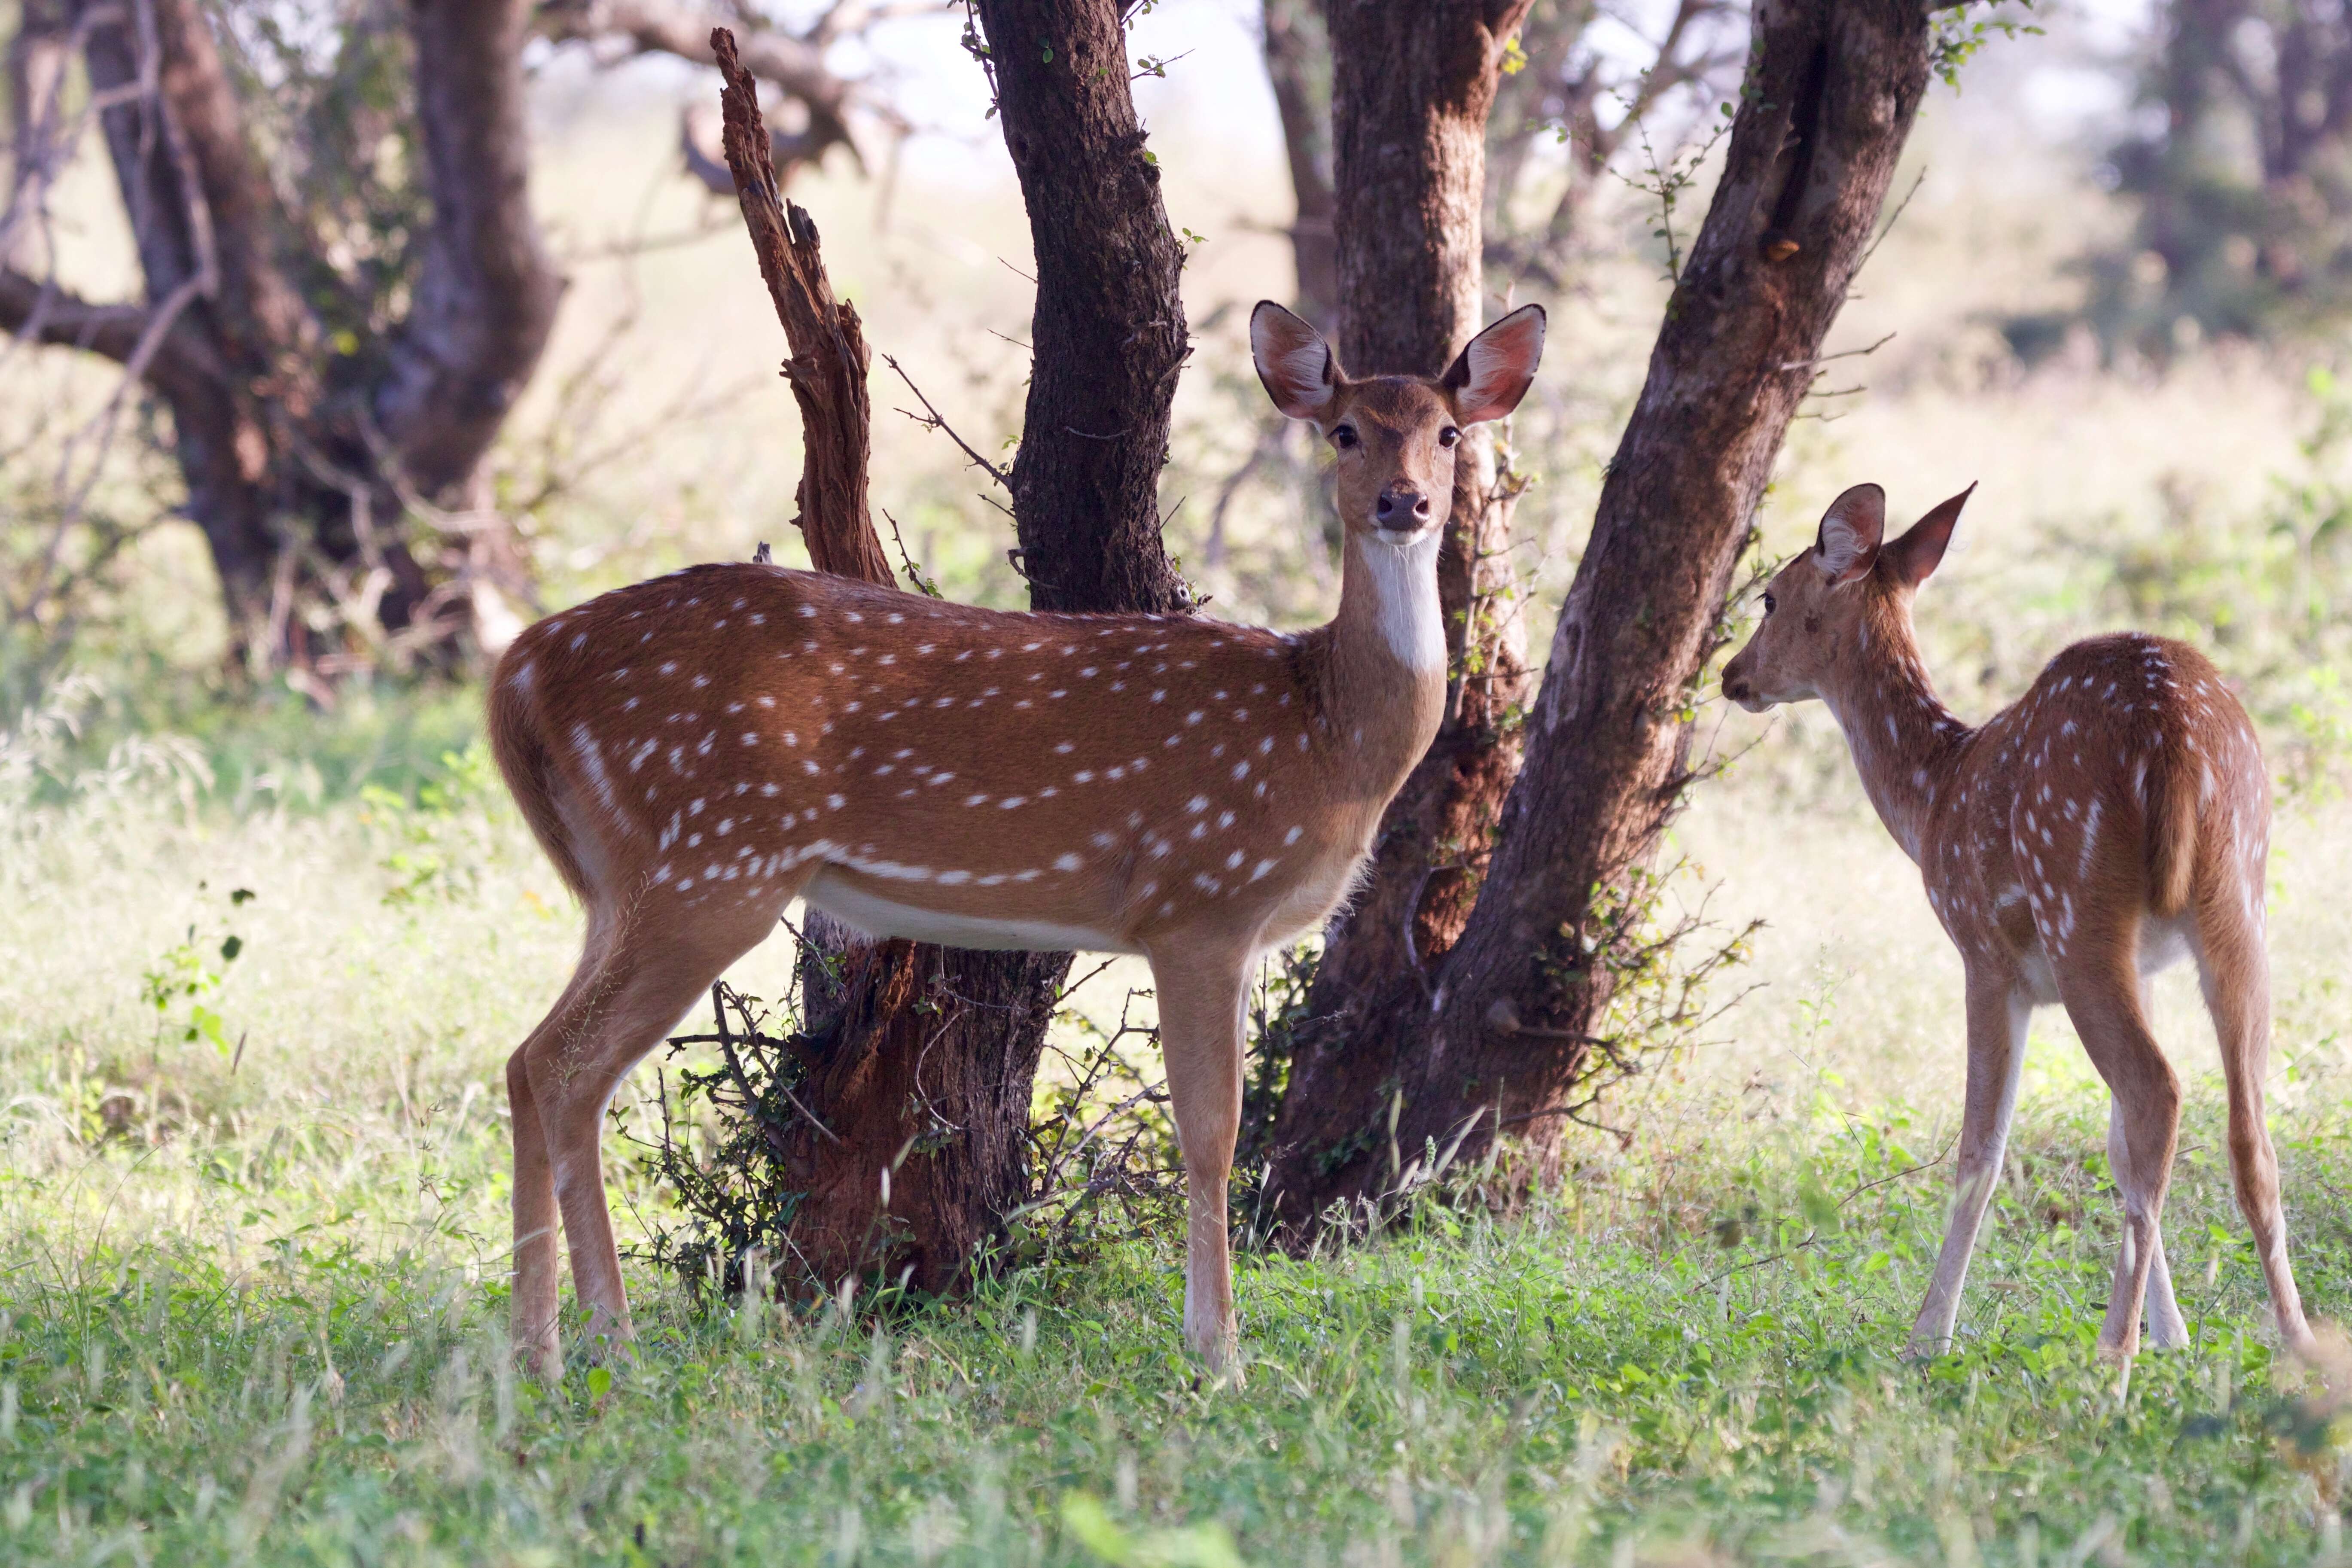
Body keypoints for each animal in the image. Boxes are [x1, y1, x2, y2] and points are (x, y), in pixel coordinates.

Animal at [482, 294, 1543, 1373]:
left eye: (1447, 434)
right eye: (1344, 432)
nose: (1404, 504)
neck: (1325, 734)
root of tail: (518, 670)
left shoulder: (1231, 928)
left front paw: (1213, 1343)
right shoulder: (1200, 900)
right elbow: (1212, 1133)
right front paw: (1219, 1354)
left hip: (624, 876)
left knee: (534, 1065)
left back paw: (562, 1343)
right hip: (712, 859)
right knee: (562, 1066)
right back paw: (577, 1346)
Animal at [1721, 487, 2324, 1363]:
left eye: (1769, 596)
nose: (1730, 675)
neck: (1933, 797)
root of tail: (2172, 739)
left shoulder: (1984, 955)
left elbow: (1981, 1150)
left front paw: (1926, 1338)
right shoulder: (2149, 964)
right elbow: (2115, 1147)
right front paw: (2175, 1333)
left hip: (2076, 904)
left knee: (2158, 1090)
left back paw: (2111, 1361)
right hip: (2239, 896)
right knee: (2248, 1137)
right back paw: (2300, 1347)